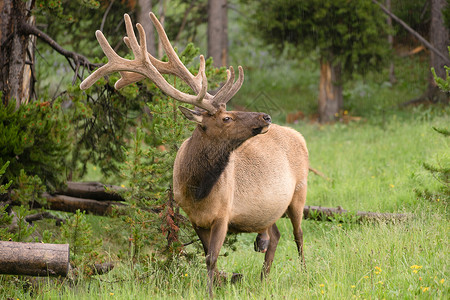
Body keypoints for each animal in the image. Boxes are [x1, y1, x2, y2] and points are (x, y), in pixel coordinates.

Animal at [79, 12, 308, 298]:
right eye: (226, 117)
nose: (265, 117)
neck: (197, 189)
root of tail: (299, 136)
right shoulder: (194, 218)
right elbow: (207, 255)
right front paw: (217, 285)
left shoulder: (224, 213)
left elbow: (212, 256)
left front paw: (211, 290)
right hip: (269, 211)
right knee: (275, 235)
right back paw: (263, 279)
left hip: (300, 193)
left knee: (299, 236)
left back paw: (305, 274)